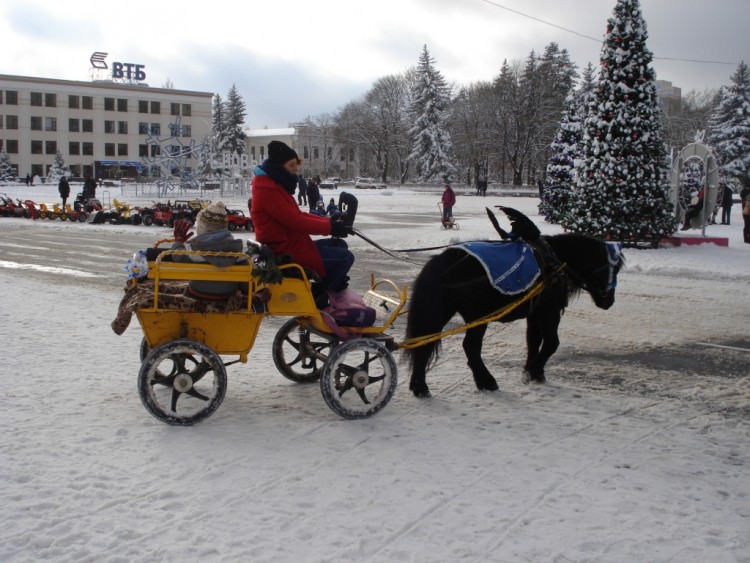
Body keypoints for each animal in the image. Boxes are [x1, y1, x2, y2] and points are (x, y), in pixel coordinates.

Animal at [406, 207, 624, 396]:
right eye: (613, 269)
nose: (609, 301)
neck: (555, 260)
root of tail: (448, 259)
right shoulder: (549, 311)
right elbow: (552, 342)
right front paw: (533, 369)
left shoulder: (535, 313)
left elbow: (533, 341)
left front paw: (534, 371)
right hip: (478, 316)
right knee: (470, 347)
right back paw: (486, 381)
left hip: (443, 311)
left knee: (425, 342)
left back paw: (420, 385)